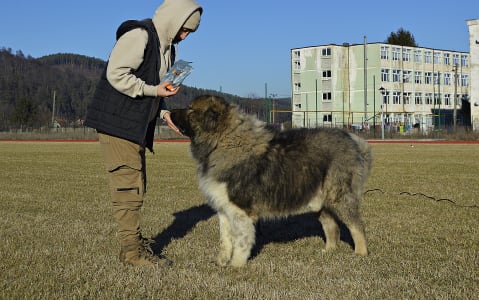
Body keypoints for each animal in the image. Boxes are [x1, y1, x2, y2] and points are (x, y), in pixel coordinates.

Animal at [171, 94, 374, 268]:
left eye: (190, 109)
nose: (170, 112)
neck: (222, 141)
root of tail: (353, 140)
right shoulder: (224, 209)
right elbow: (225, 240)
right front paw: (222, 262)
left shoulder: (240, 210)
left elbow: (241, 240)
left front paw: (236, 265)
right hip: (318, 200)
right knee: (331, 225)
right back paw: (329, 250)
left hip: (338, 196)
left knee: (356, 225)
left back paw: (360, 254)